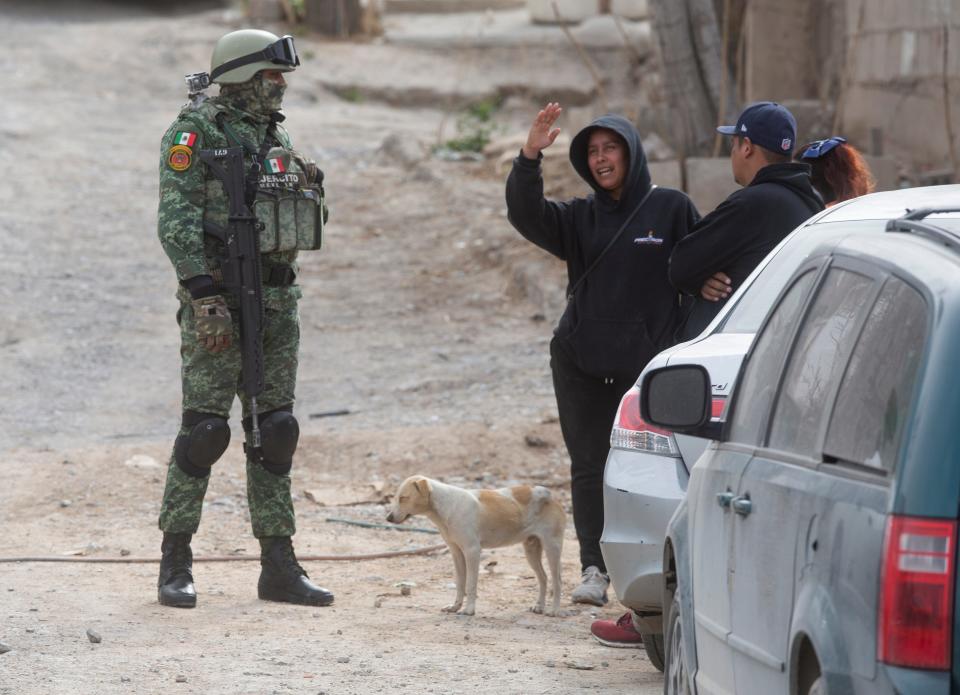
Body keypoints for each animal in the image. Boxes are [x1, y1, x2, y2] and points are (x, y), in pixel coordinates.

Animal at [384, 476, 564, 616]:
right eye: (396, 497)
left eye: (403, 498)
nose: (388, 518)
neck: (447, 506)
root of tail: (551, 495)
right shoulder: (456, 553)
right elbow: (460, 583)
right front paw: (455, 607)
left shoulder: (472, 551)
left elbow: (470, 583)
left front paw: (469, 610)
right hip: (531, 550)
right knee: (543, 577)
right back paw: (539, 606)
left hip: (552, 547)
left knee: (557, 580)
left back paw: (554, 610)